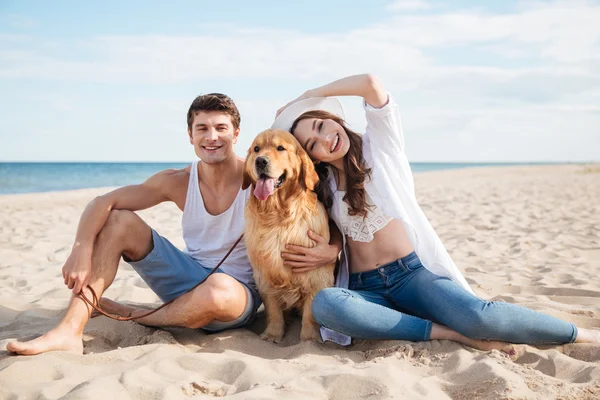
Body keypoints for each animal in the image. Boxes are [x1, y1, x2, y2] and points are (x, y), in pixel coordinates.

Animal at [244, 130, 338, 342]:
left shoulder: (317, 273)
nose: (260, 161)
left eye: (280, 148)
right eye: (256, 149)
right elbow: (273, 309)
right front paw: (273, 334)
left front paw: (309, 339)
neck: (279, 216)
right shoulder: (265, 273)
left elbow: (310, 312)